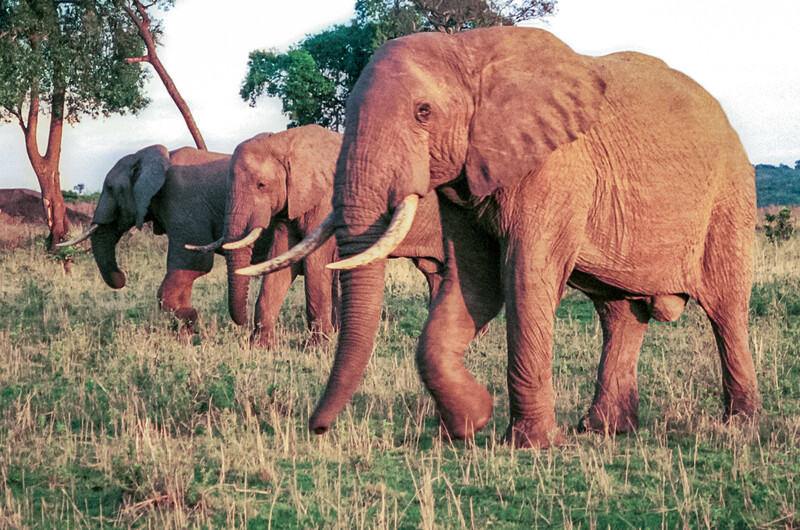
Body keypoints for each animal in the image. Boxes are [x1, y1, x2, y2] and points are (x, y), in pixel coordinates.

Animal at [202, 125, 446, 346]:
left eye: (261, 185)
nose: (241, 323)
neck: (284, 142)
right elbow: (281, 258)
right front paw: (259, 346)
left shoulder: (327, 199)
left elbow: (314, 261)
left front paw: (317, 347)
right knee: (436, 274)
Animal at [256, 27, 760, 448]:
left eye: (423, 113)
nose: (317, 428)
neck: (468, 52)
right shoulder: (465, 182)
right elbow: (474, 284)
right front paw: (470, 422)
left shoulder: (555, 169)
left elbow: (525, 280)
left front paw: (532, 445)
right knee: (619, 315)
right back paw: (604, 430)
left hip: (730, 197)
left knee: (726, 310)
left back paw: (739, 426)